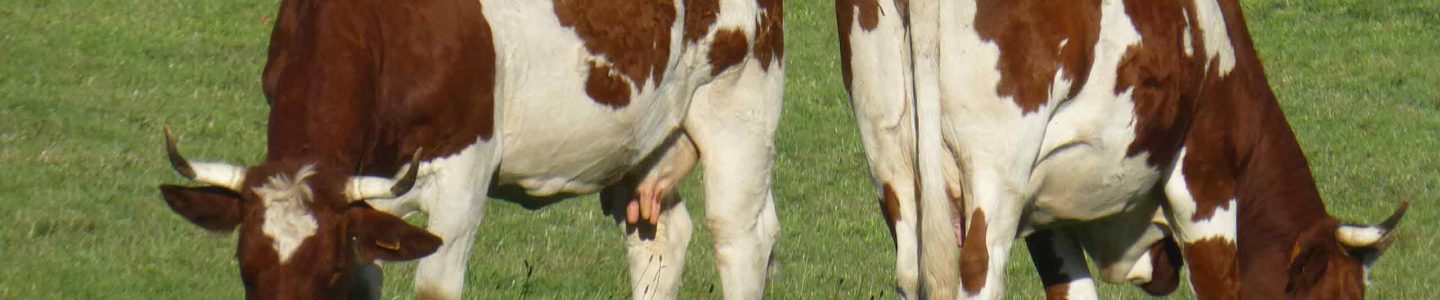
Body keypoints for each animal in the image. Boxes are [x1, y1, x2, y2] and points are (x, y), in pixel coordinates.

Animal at [159, 0, 789, 300]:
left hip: (739, 102)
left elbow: (435, 287)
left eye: (327, 272)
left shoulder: (464, 171)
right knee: (658, 237)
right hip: (642, 142)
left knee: (741, 236)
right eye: (246, 269)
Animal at [840, 0, 1411, 297]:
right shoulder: (1206, 186)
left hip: (893, 159)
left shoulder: (1046, 212)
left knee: (912, 268)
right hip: (995, 170)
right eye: (1340, 295)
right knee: (980, 269)